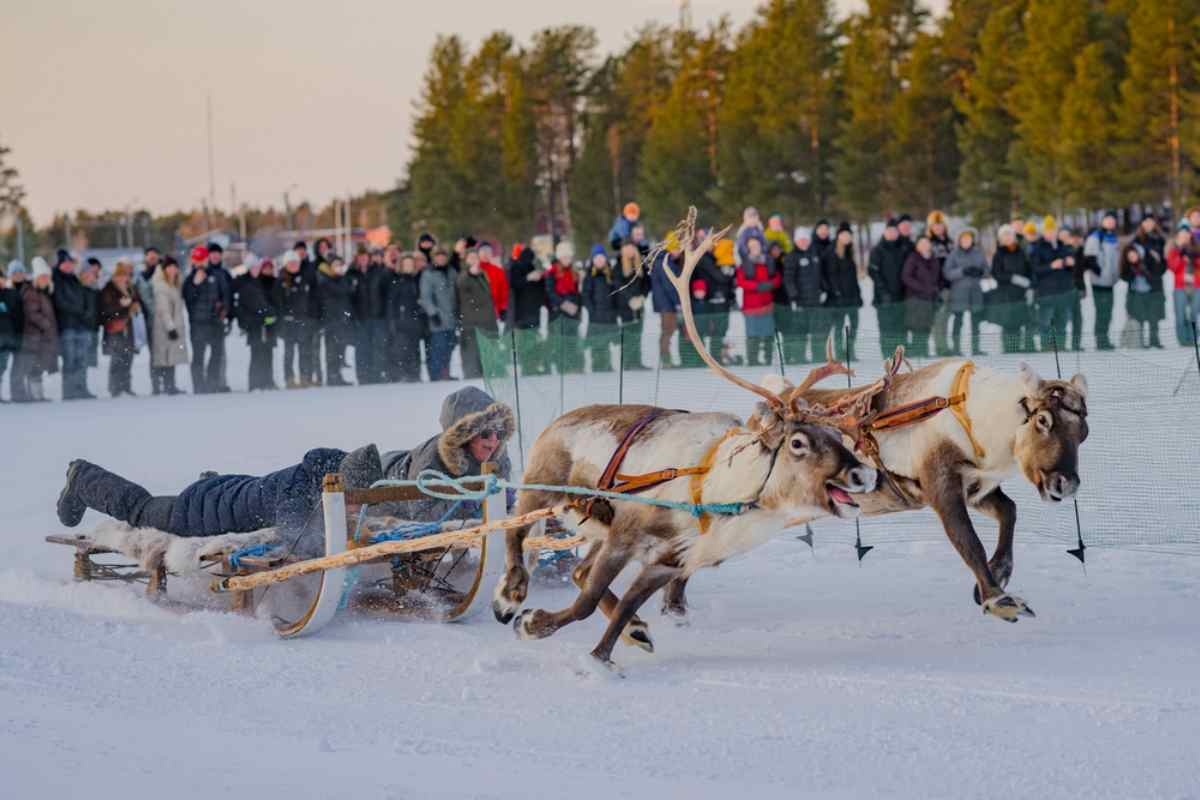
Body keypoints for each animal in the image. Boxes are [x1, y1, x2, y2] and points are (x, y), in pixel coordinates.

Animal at [490, 212, 879, 670]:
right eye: (798, 443)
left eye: (837, 434)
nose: (863, 473)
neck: (715, 491)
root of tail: (557, 421)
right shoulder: (626, 535)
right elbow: (585, 601)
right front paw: (534, 626)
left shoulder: (670, 560)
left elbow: (620, 602)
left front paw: (609, 649)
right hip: (542, 487)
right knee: (515, 533)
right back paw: (509, 596)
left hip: (592, 526)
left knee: (579, 571)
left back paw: (634, 629)